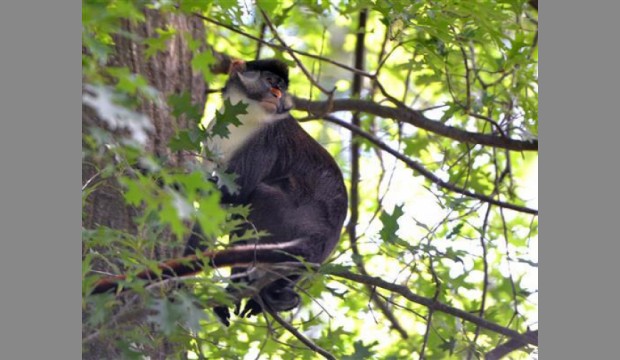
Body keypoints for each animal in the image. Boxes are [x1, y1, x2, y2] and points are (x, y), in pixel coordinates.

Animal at [89, 58, 346, 326]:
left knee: (259, 194)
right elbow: (212, 209)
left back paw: (246, 287)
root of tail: (321, 238)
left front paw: (146, 168)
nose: (276, 95)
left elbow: (236, 193)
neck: (246, 119)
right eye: (270, 81)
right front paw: (180, 287)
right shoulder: (214, 137)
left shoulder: (267, 139)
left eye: (281, 87)